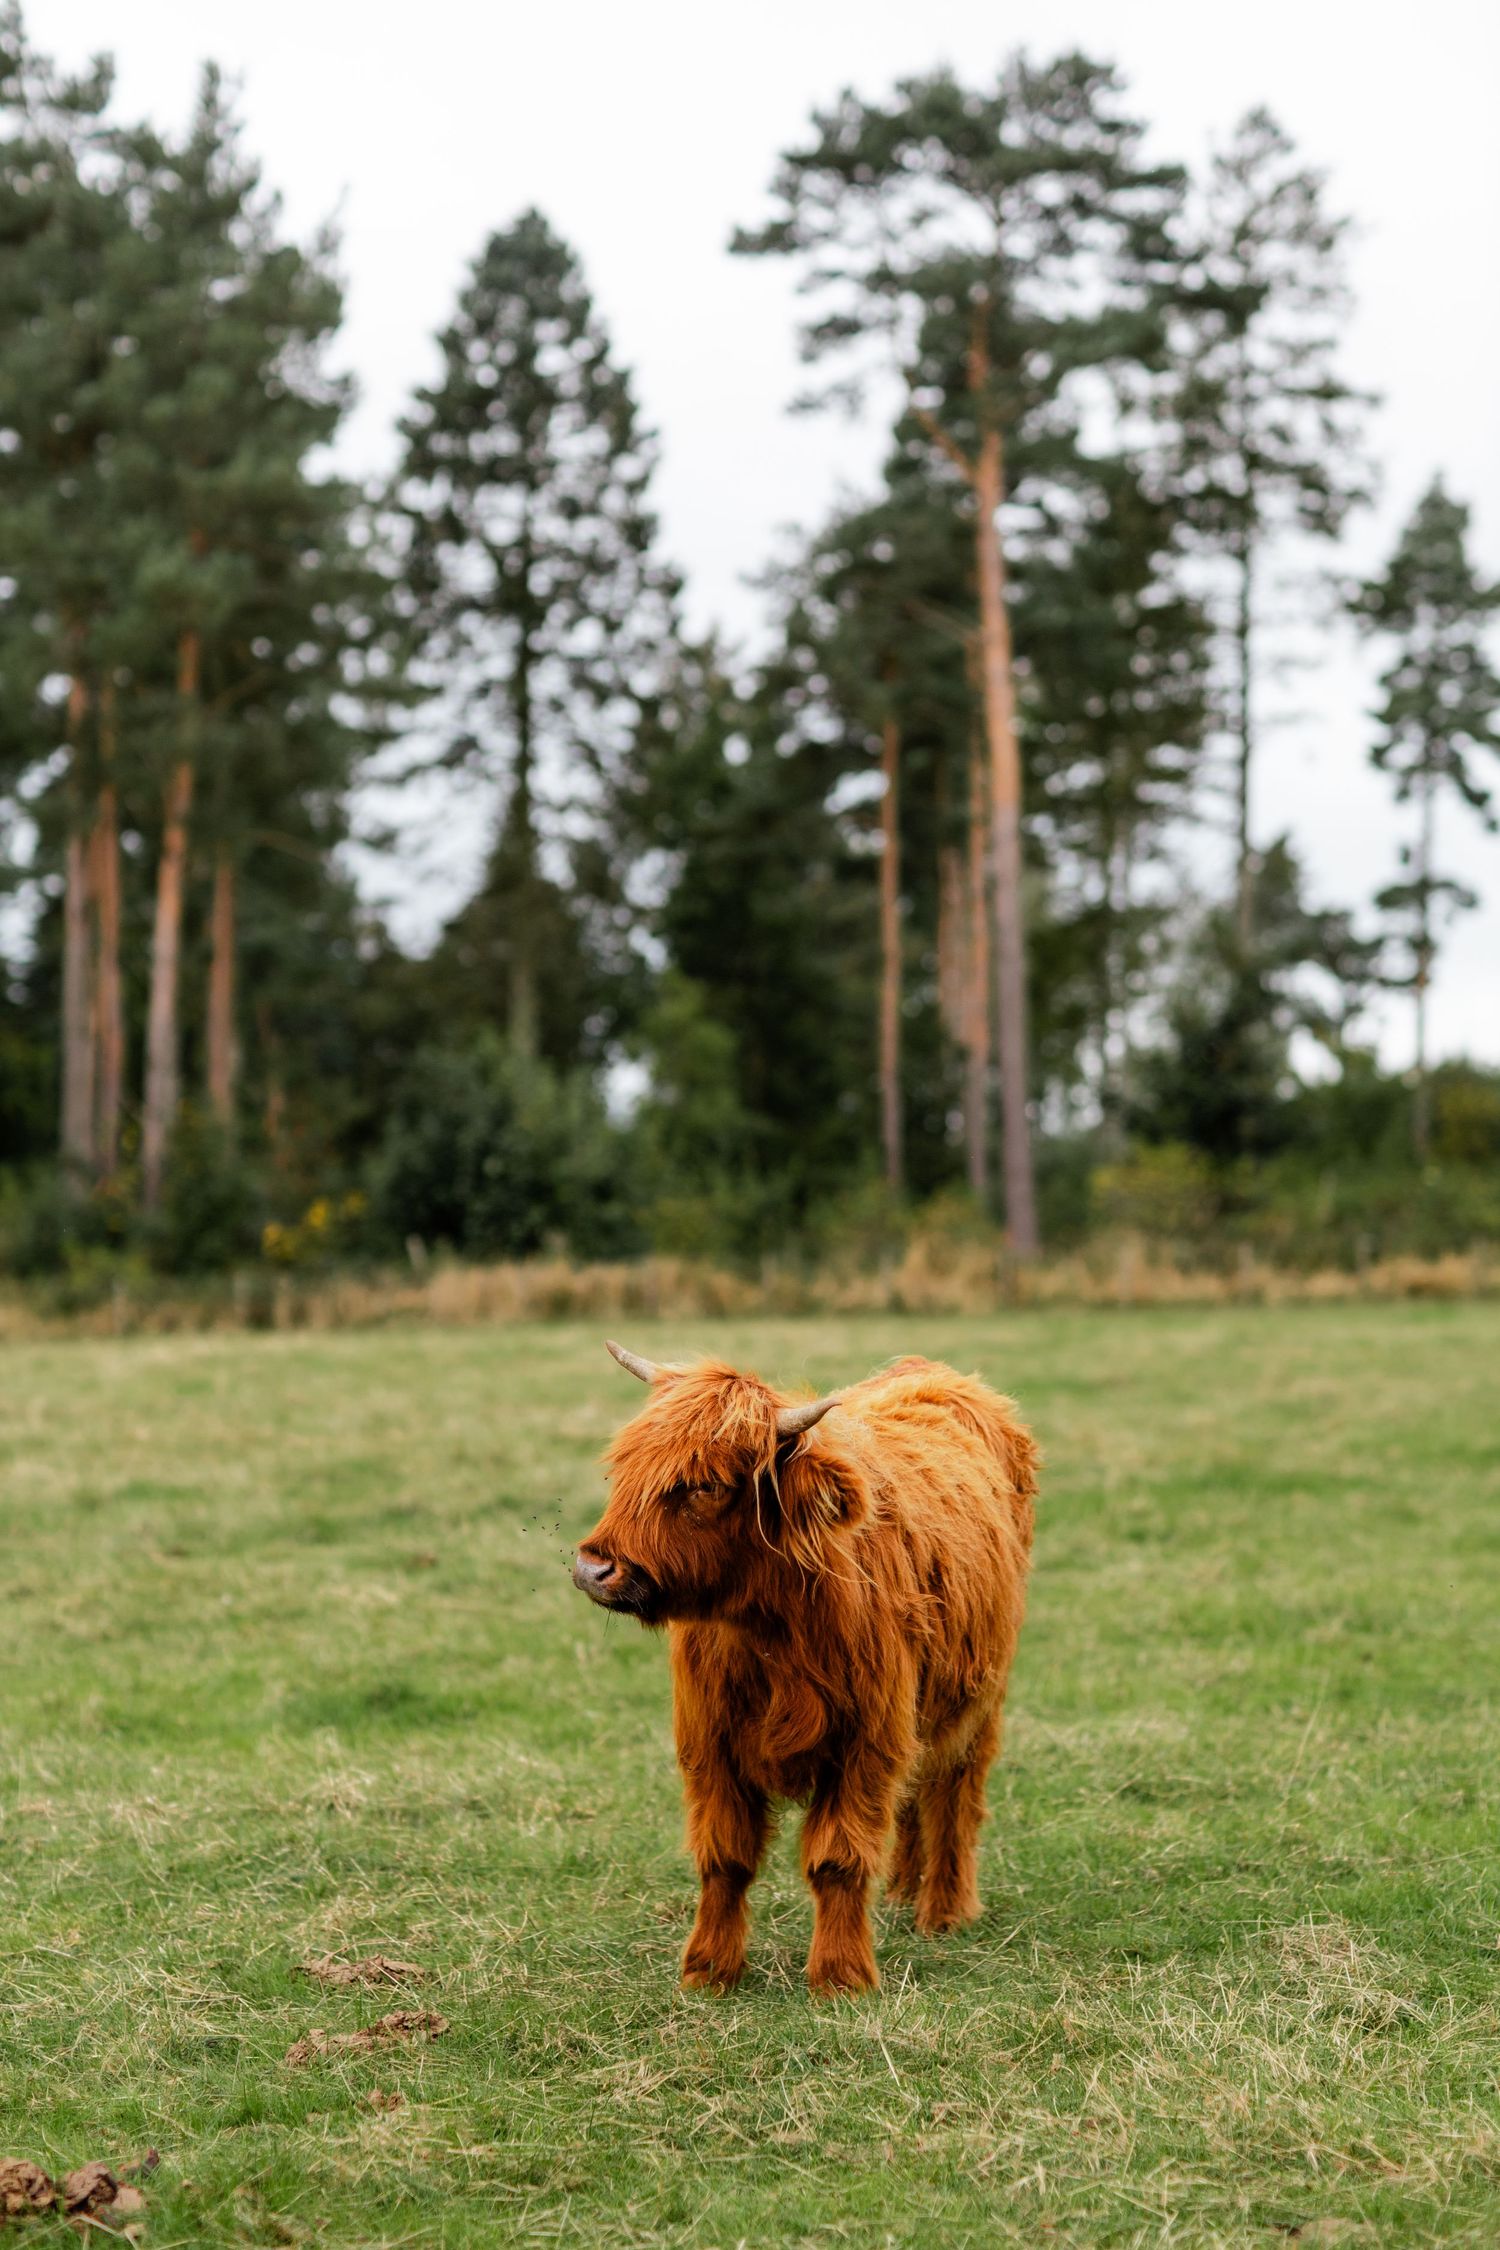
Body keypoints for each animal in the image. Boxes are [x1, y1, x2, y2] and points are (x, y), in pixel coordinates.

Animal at [572, 1341, 1037, 1996]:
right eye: (623, 1466)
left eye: (706, 1485)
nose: (594, 1569)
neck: (768, 1629)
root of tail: (932, 1370)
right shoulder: (710, 1742)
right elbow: (724, 1856)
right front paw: (708, 1970)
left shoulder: (866, 1741)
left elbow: (838, 1858)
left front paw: (841, 1975)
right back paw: (901, 1893)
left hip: (979, 1699)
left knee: (954, 1796)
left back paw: (944, 1911)